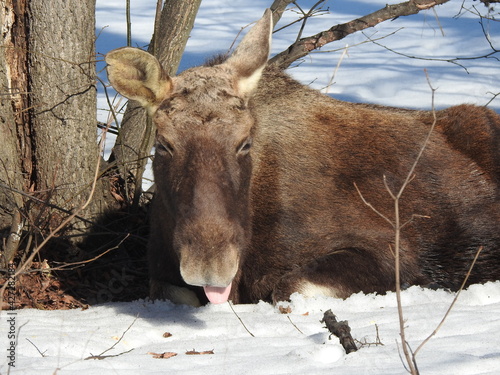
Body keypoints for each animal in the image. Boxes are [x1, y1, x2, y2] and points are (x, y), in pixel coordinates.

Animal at [106, 10, 500, 306]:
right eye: (164, 144)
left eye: (245, 142)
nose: (210, 264)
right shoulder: (163, 277)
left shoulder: (396, 253)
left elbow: (289, 286)